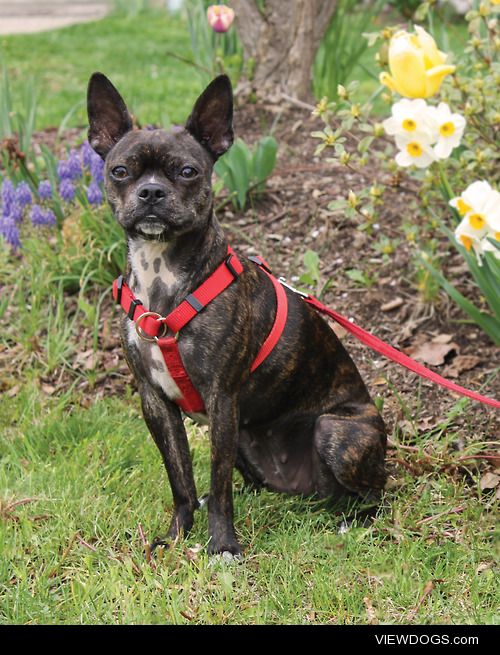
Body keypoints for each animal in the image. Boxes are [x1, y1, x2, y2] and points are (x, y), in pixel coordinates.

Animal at [88, 73, 388, 560]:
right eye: (120, 171)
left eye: (187, 171)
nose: (150, 192)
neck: (161, 276)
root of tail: (304, 488)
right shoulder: (155, 401)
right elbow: (181, 480)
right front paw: (177, 535)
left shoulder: (222, 398)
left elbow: (218, 482)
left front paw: (223, 544)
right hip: (246, 436)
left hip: (336, 433)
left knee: (376, 490)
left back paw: (354, 520)